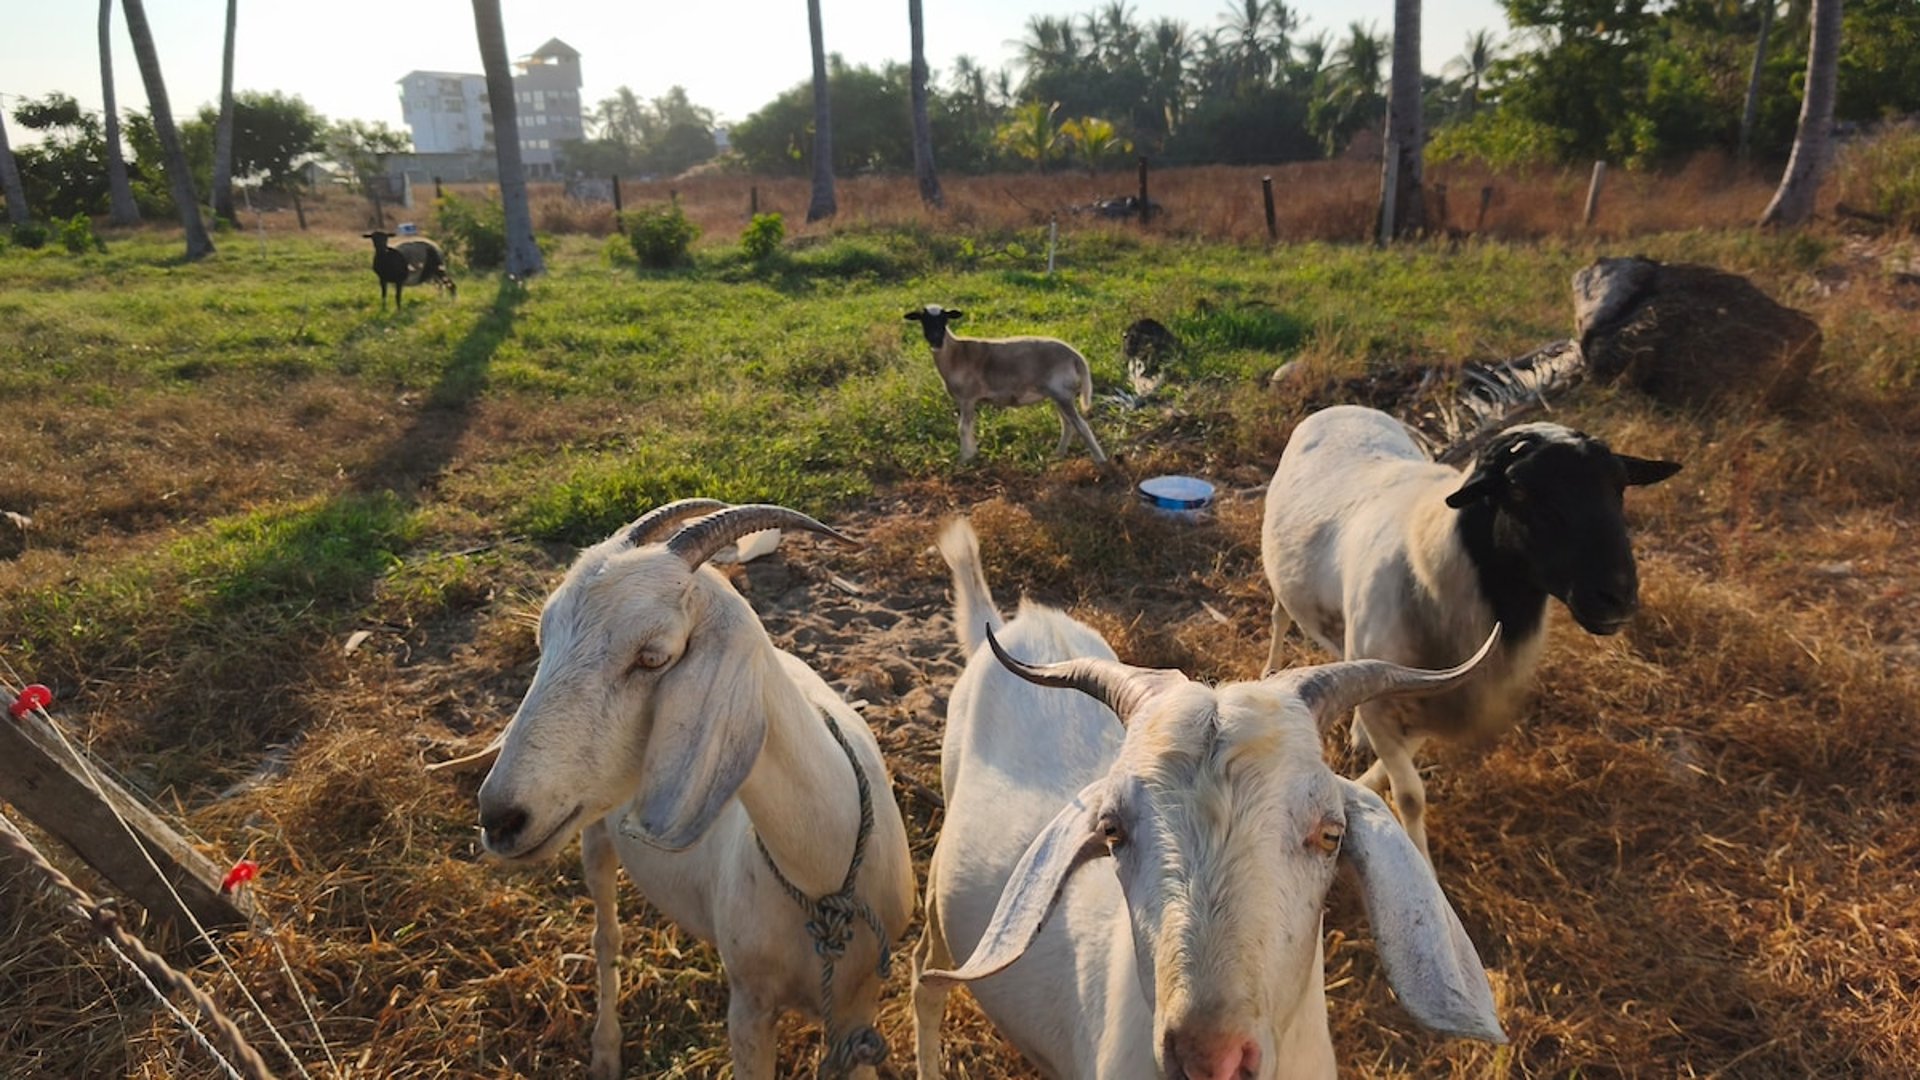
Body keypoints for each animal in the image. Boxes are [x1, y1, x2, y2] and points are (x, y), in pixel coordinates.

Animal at [475, 500, 916, 1080]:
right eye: (542, 641)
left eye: (652, 656)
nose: (499, 818)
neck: (823, 876)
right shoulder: (749, 1006)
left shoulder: (858, 1014)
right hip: (592, 833)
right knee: (606, 937)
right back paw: (605, 1050)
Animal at [904, 304, 1108, 465]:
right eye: (923, 320)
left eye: (944, 319)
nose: (935, 340)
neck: (956, 354)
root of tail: (1075, 356)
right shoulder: (970, 400)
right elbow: (970, 426)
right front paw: (972, 454)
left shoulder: (967, 398)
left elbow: (963, 428)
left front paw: (964, 458)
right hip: (1059, 395)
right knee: (1068, 424)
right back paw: (1058, 454)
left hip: (1062, 394)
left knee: (1081, 425)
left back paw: (1100, 460)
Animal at [911, 517, 1506, 1080]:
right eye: (1112, 830)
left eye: (1331, 833)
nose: (1210, 1059)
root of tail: (1024, 621)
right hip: (939, 899)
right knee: (925, 978)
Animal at [1261, 404, 1681, 860]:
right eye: (1520, 492)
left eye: (1620, 487)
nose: (1617, 597)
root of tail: (1342, 408)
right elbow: (1410, 795)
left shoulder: (1435, 695)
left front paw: (1366, 778)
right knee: (1279, 618)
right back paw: (1271, 670)